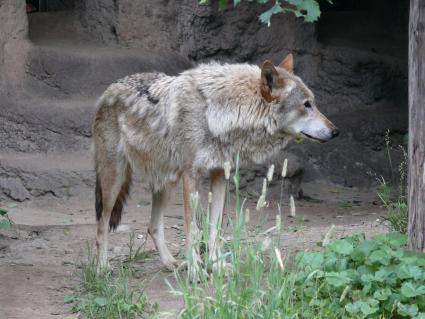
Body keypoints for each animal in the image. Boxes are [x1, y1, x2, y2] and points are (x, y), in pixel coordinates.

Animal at [93, 53, 338, 272]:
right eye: (307, 105)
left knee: (153, 226)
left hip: (167, 182)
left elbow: (214, 228)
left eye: (313, 103)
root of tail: (109, 88)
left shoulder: (220, 174)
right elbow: (192, 228)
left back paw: (170, 263)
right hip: (115, 180)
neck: (218, 113)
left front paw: (215, 265)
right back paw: (102, 267)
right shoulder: (191, 176)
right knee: (102, 223)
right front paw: (196, 270)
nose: (335, 131)